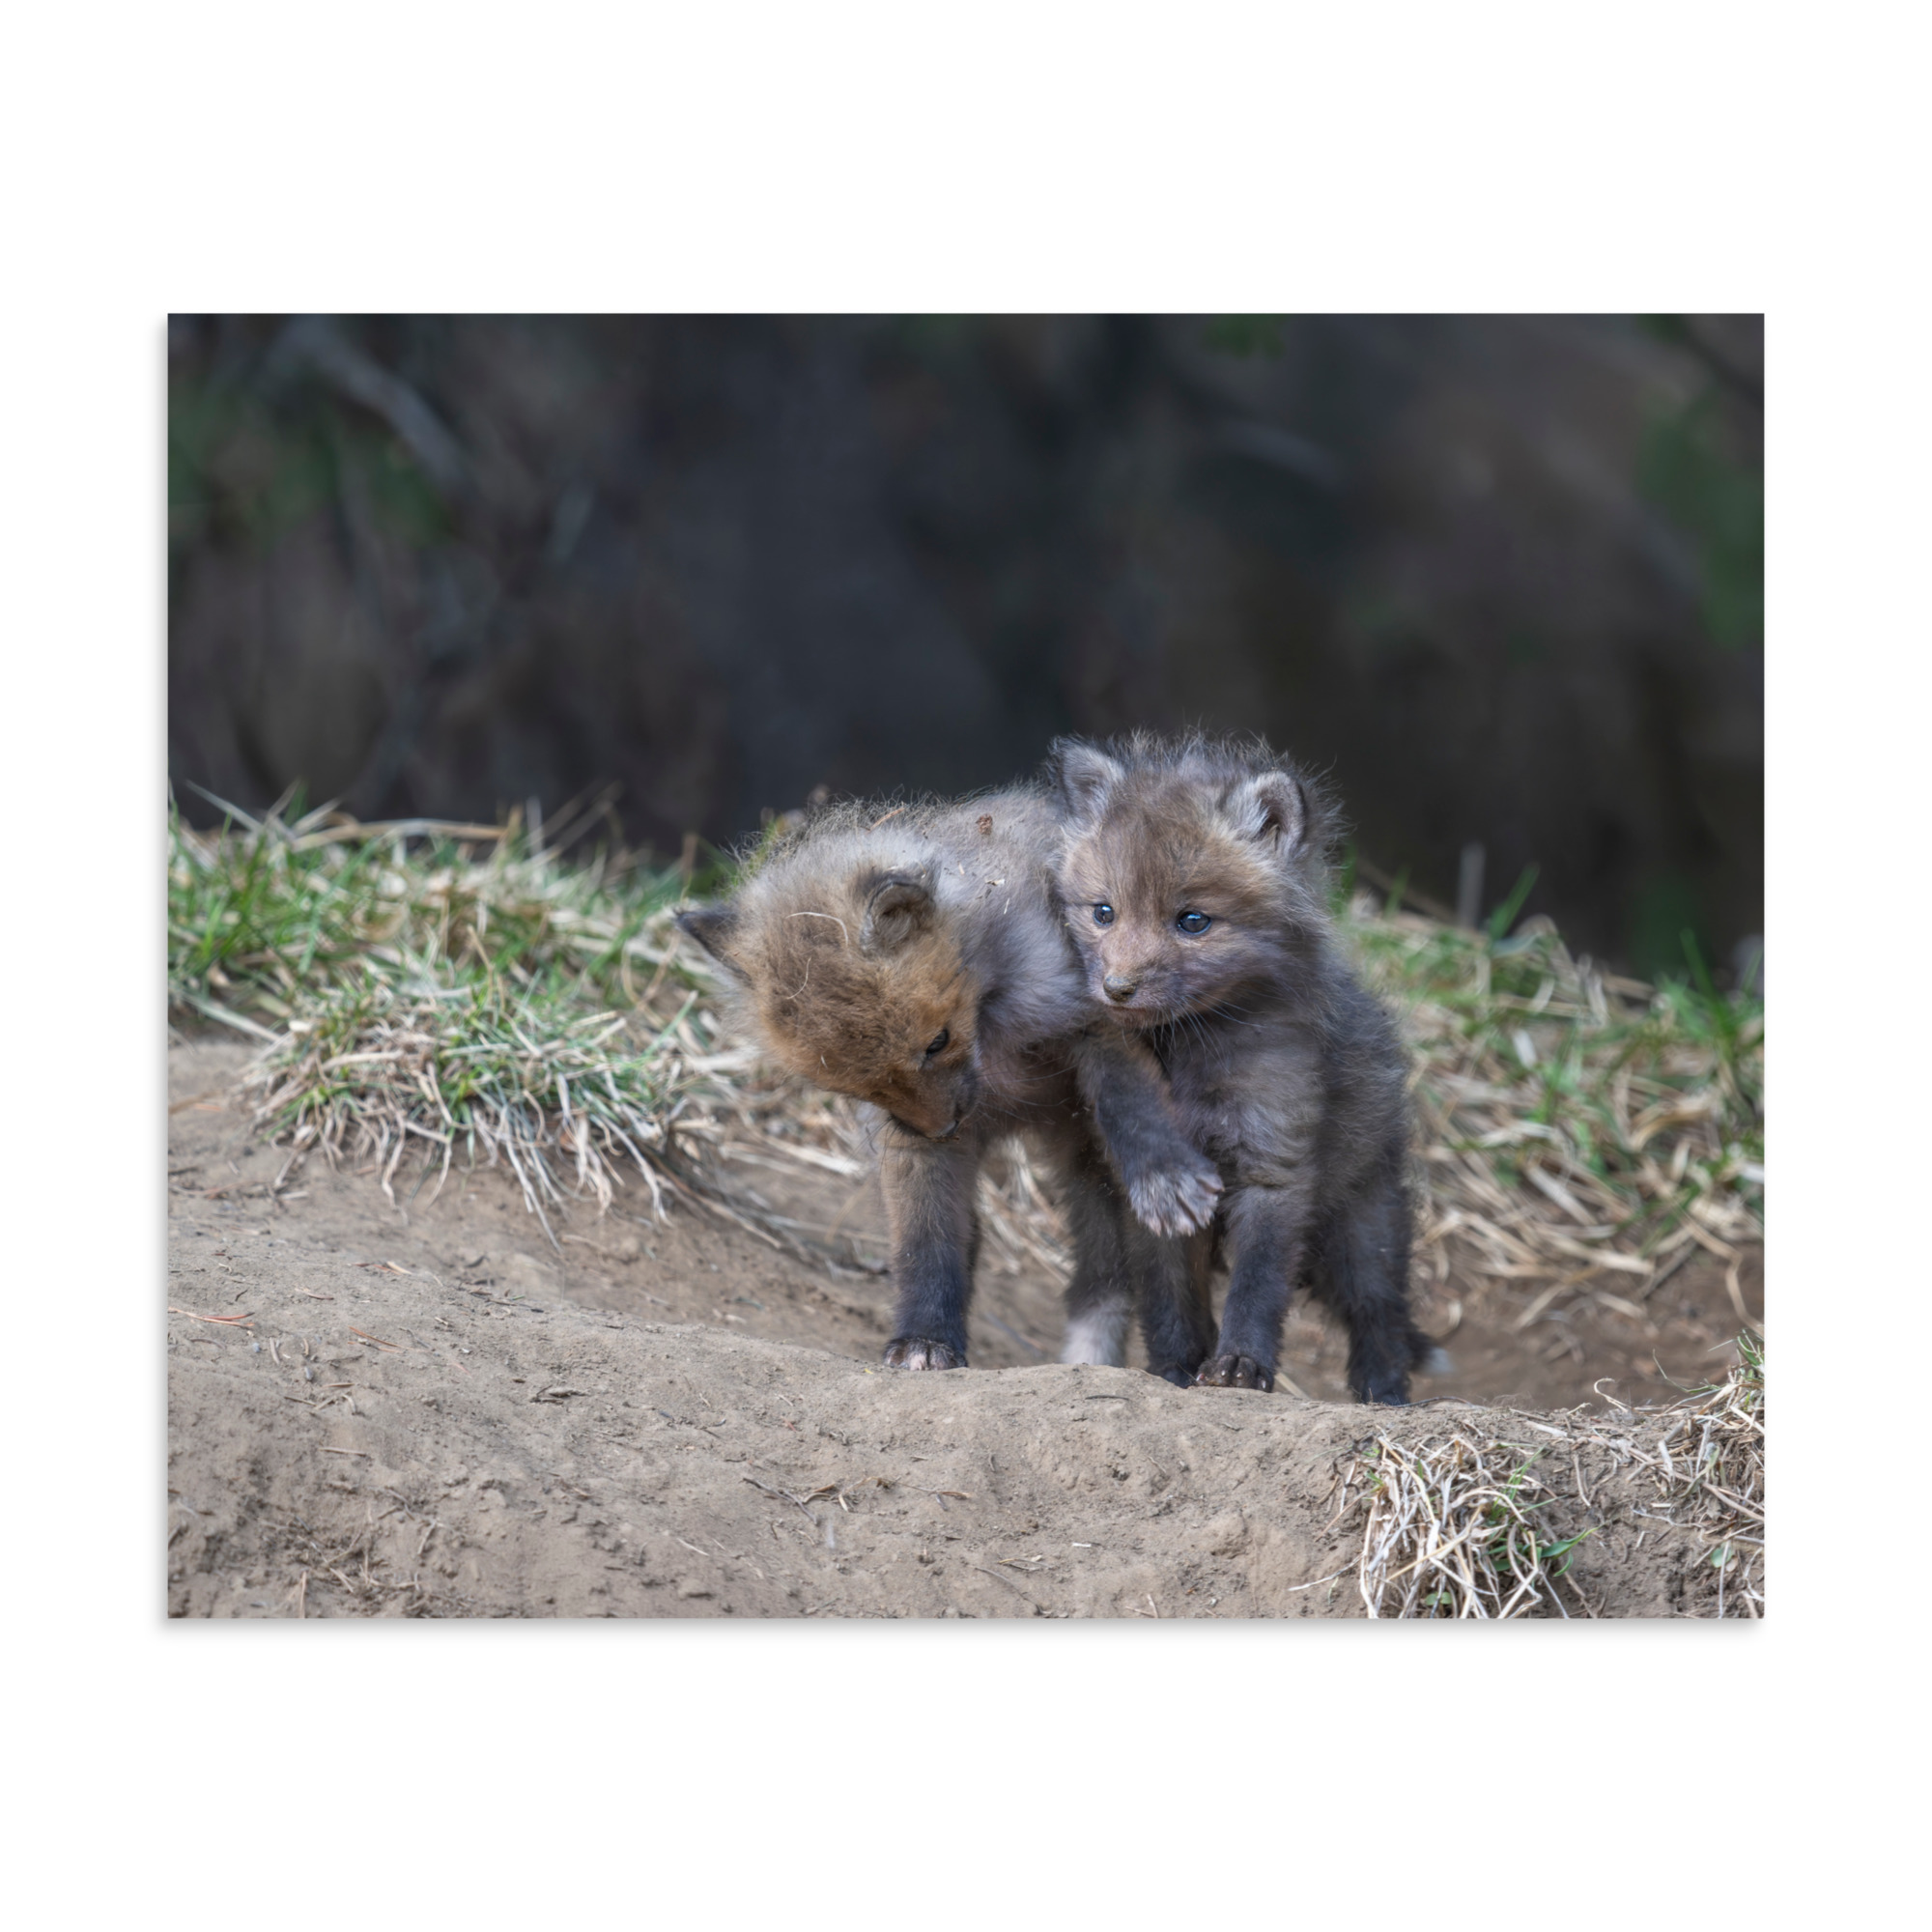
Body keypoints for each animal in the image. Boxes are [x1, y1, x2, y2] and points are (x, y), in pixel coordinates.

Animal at [674, 788, 1223, 1372]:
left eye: (936, 1042)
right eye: (856, 1086)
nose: (942, 1129)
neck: (993, 1032)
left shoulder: (1096, 1016)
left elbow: (1130, 1102)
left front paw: (1163, 1175)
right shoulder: (906, 1141)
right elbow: (926, 1243)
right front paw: (925, 1339)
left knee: (1160, 1281)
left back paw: (1179, 1367)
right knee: (1098, 1275)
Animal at [1047, 732, 1438, 1405]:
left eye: (1192, 921)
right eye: (1103, 913)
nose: (1116, 989)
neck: (1189, 1057)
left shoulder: (1273, 1165)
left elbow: (1257, 1287)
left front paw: (1239, 1367)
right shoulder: (1154, 1190)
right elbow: (1169, 1298)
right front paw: (1175, 1370)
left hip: (1362, 1226)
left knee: (1380, 1314)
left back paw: (1384, 1397)